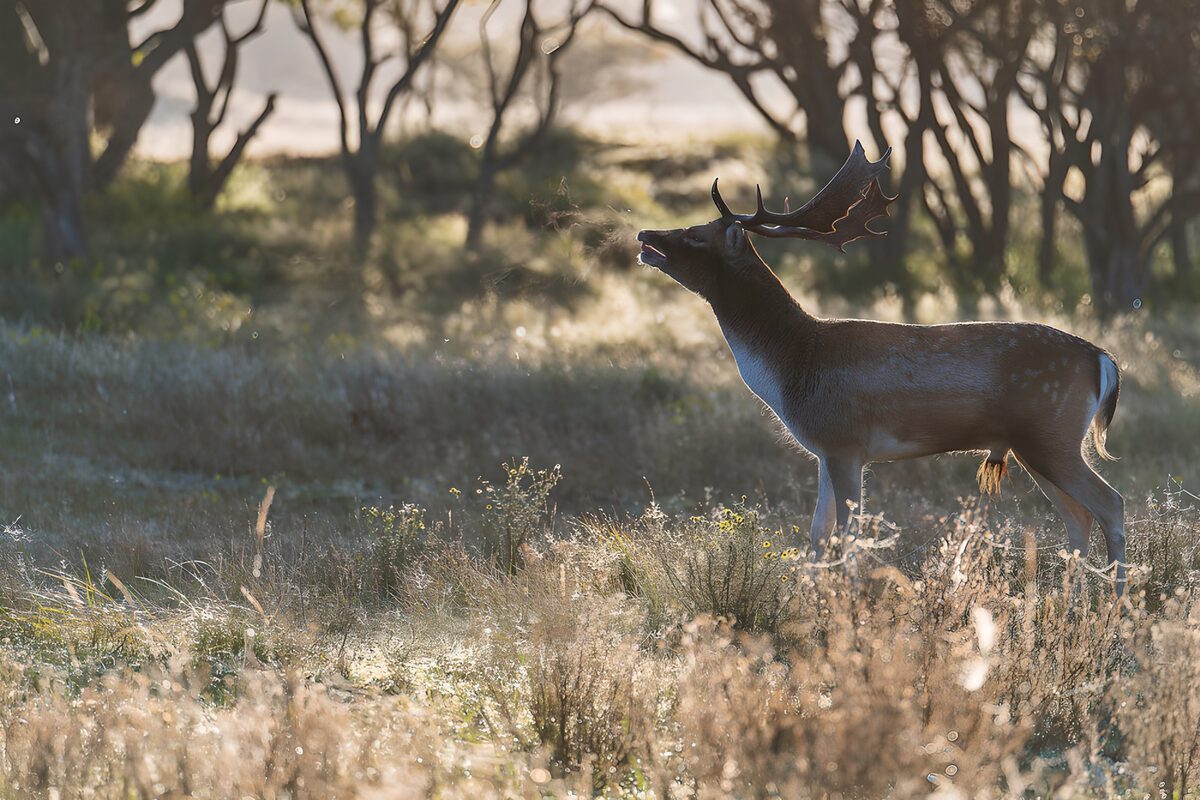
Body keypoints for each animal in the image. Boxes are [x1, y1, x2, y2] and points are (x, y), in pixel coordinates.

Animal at [636, 142, 1127, 594]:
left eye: (697, 235)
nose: (645, 235)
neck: (793, 363)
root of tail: (1102, 360)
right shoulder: (825, 449)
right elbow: (818, 532)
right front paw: (814, 598)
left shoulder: (844, 440)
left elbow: (850, 533)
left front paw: (849, 601)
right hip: (1038, 445)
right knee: (1079, 516)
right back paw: (1066, 602)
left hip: (1049, 434)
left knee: (1111, 502)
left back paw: (1115, 604)